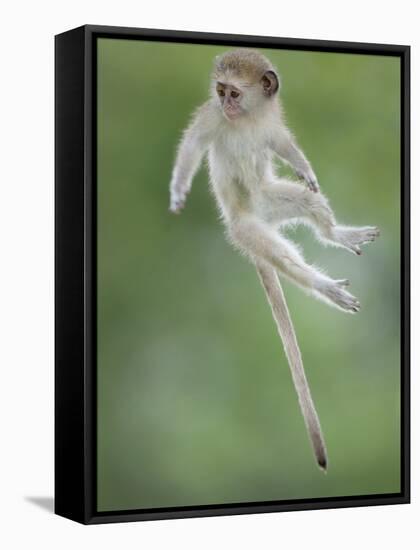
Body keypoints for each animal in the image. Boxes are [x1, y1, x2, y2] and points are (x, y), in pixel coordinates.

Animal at [169, 49, 378, 472]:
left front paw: (304, 167)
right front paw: (178, 188)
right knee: (279, 254)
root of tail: (254, 216)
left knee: (310, 202)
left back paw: (336, 234)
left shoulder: (271, 124)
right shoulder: (211, 117)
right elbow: (193, 143)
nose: (226, 104)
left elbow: (283, 144)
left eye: (234, 92)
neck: (246, 119)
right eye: (221, 92)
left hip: (271, 198)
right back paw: (323, 285)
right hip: (246, 229)